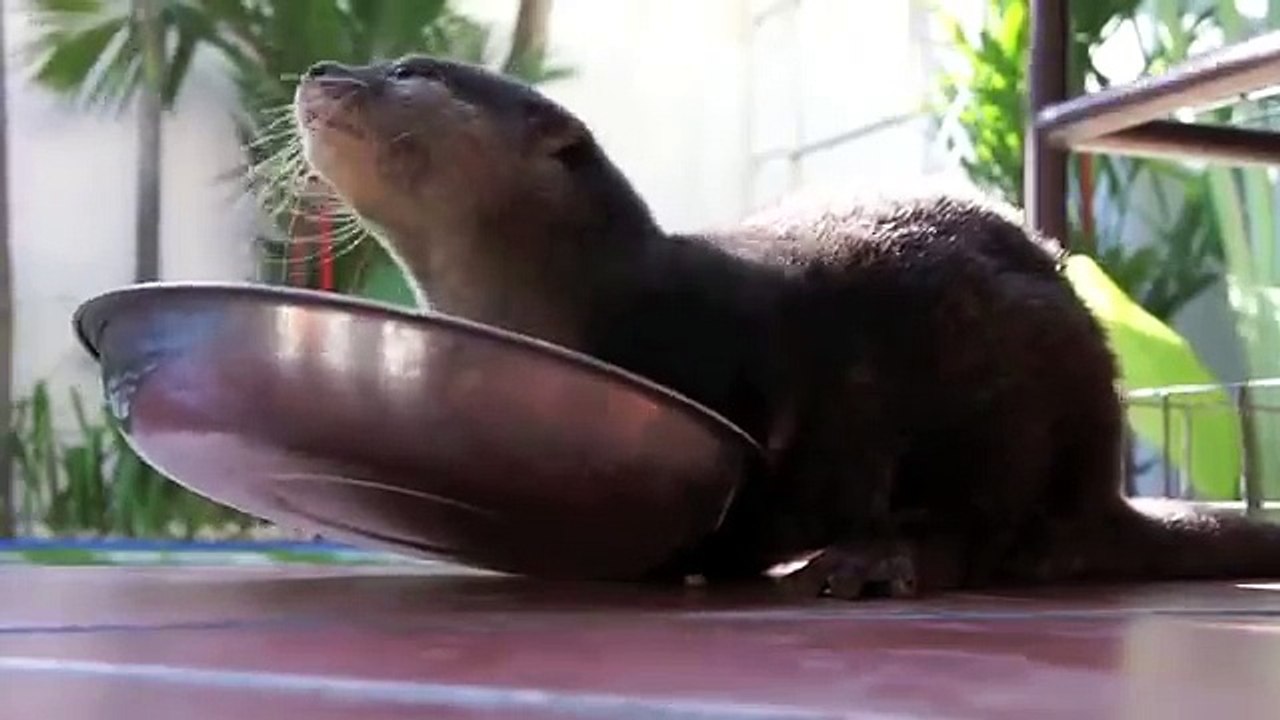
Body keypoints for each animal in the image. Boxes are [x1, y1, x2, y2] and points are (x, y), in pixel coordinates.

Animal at [291, 55, 1280, 599]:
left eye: (412, 72)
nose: (319, 73)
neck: (600, 298)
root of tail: (1100, 481)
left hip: (1008, 391)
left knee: (984, 530)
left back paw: (876, 560)